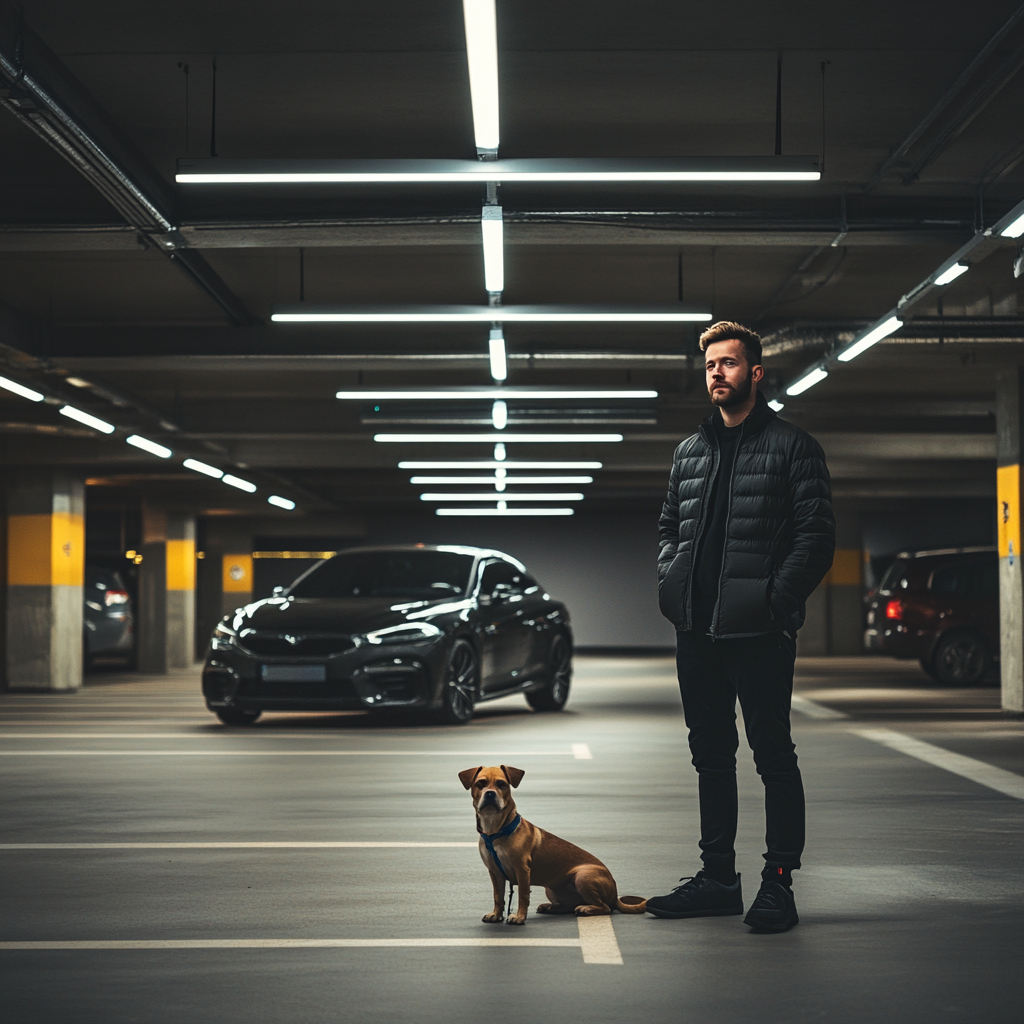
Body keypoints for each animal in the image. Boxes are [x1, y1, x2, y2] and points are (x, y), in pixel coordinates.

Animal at [458, 765, 643, 925]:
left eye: (501, 784)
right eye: (480, 784)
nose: (490, 794)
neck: (496, 831)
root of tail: (615, 895)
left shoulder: (522, 870)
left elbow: (523, 896)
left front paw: (519, 917)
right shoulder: (495, 872)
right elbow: (498, 896)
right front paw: (496, 915)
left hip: (583, 876)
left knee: (605, 907)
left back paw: (586, 908)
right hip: (551, 888)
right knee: (569, 906)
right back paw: (550, 907)